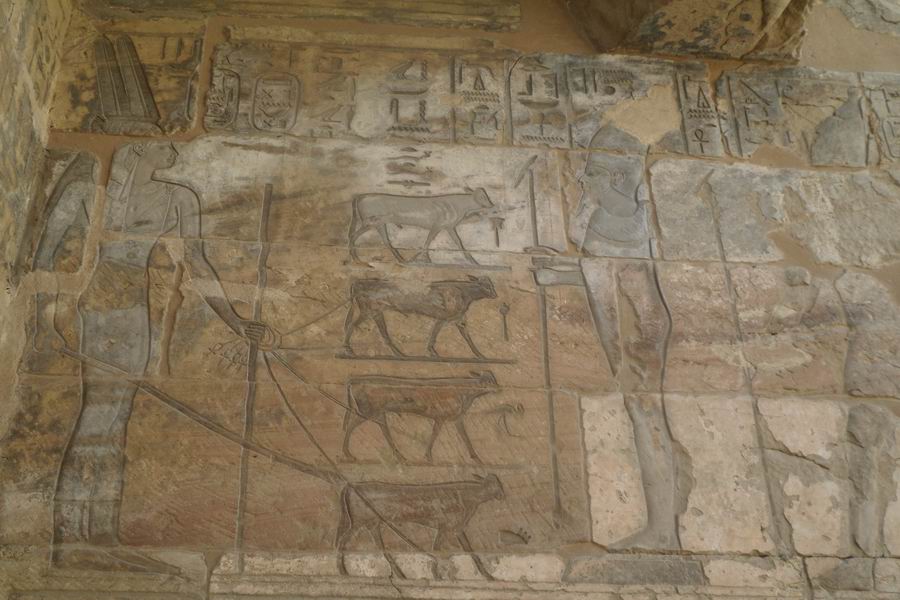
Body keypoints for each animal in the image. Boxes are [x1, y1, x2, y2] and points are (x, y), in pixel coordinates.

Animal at [336, 474, 504, 579]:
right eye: (495, 485)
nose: (502, 494)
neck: (467, 497)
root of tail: (351, 486)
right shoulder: (444, 528)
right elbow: (437, 549)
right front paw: (437, 575)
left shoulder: (456, 529)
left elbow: (470, 551)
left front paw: (487, 575)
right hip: (357, 523)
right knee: (342, 541)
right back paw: (342, 571)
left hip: (373, 524)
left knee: (380, 546)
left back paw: (400, 574)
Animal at [342, 276, 497, 359]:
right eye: (486, 286)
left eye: (491, 285)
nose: (495, 295)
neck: (463, 292)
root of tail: (359, 282)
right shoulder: (442, 318)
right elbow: (434, 334)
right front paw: (432, 352)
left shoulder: (459, 319)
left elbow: (467, 337)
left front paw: (480, 355)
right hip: (367, 312)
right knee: (352, 325)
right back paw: (348, 349)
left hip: (376, 313)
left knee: (384, 334)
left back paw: (399, 354)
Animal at [342, 371, 499, 464]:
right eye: (489, 381)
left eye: (493, 379)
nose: (498, 388)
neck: (464, 392)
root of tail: (355, 380)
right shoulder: (441, 418)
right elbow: (435, 434)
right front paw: (428, 457)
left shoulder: (456, 418)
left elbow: (465, 437)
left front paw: (476, 458)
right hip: (366, 412)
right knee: (350, 426)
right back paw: (348, 455)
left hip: (378, 413)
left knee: (385, 431)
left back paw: (401, 457)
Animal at [348, 188, 496, 265]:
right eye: (483, 197)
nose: (492, 205)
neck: (459, 206)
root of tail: (361, 196)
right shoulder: (437, 225)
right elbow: (428, 242)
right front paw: (426, 260)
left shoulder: (448, 227)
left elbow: (458, 242)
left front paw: (473, 261)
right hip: (370, 223)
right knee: (352, 236)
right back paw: (356, 260)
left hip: (379, 225)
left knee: (386, 242)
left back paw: (402, 260)